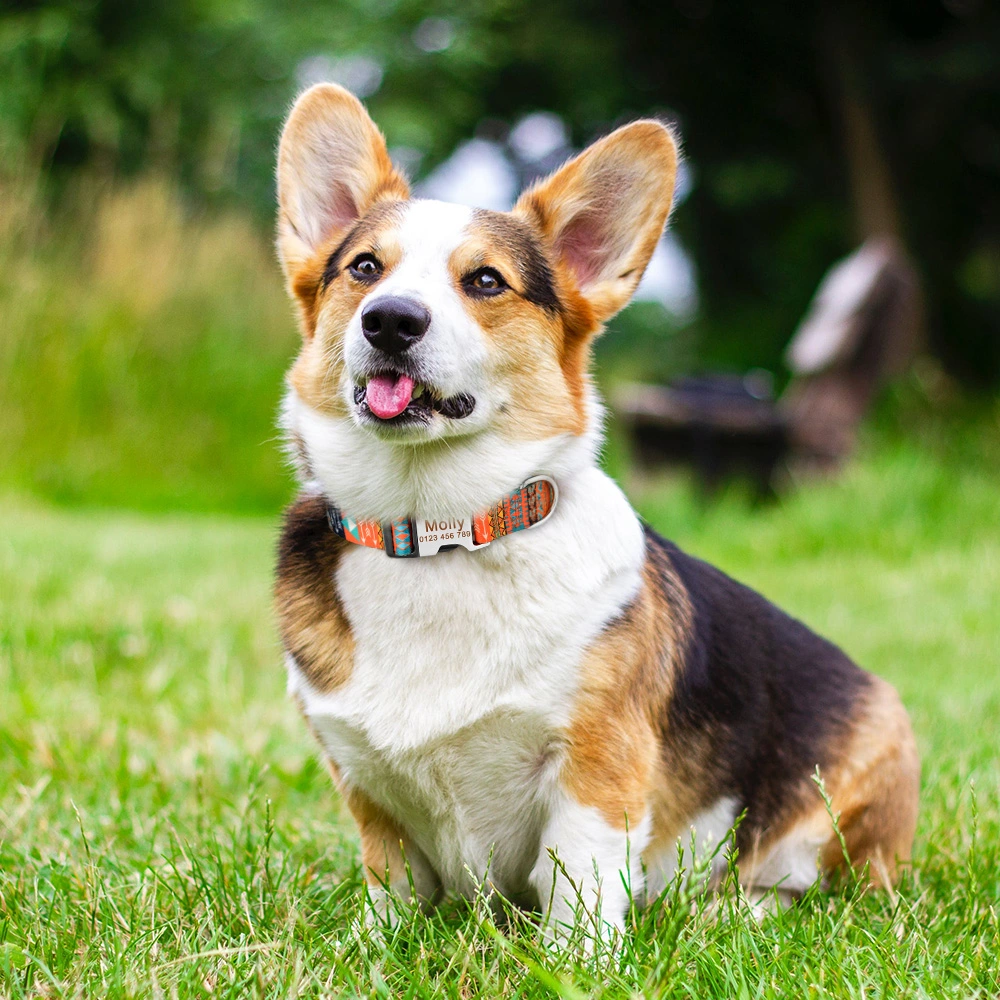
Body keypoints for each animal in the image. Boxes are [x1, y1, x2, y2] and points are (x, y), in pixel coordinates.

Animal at [270, 84, 916, 936]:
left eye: (485, 282)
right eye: (364, 269)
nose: (390, 319)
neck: (438, 532)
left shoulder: (594, 765)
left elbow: (579, 881)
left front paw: (576, 955)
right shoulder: (366, 783)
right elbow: (392, 889)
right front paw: (372, 947)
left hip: (857, 791)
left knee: (818, 891)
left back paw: (733, 911)